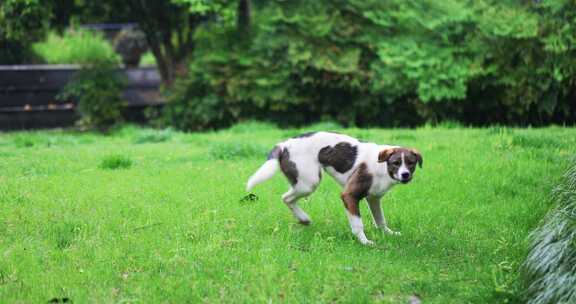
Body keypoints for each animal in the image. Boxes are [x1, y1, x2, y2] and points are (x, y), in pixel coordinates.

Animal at [245, 132, 420, 246]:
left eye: (411, 163)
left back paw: (303, 219)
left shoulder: (374, 199)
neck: (381, 165)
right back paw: (303, 217)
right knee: (286, 198)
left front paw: (389, 233)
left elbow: (380, 220)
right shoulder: (349, 196)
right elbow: (358, 225)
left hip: (302, 183)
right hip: (309, 183)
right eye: (396, 163)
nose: (405, 175)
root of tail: (284, 145)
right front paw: (364, 242)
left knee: (288, 198)